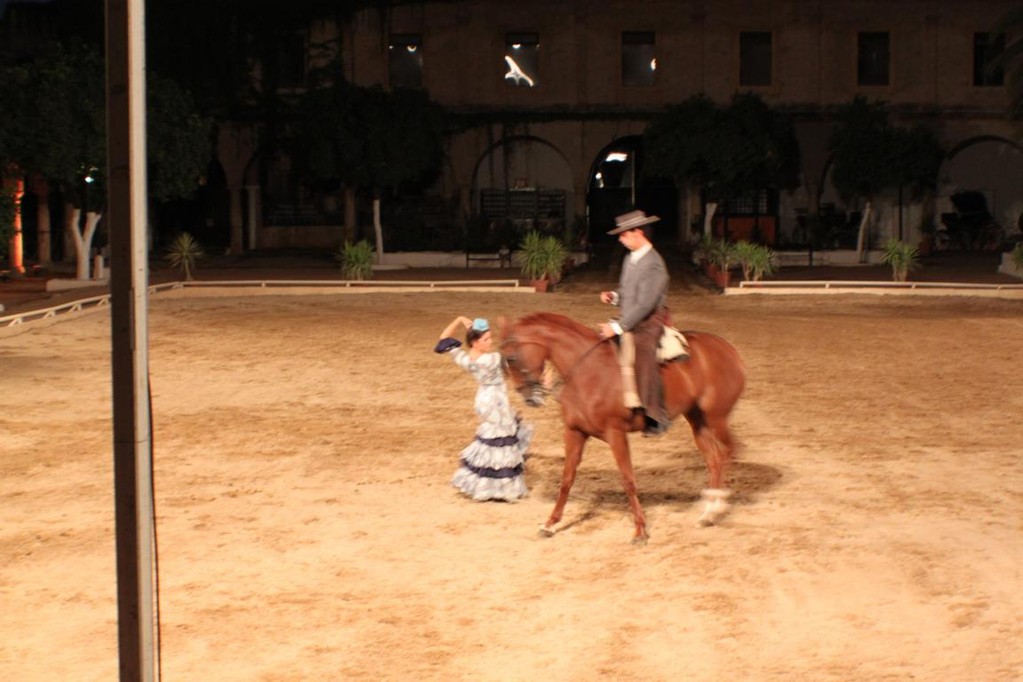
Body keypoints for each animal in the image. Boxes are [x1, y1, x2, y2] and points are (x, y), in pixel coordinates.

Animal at [499, 312, 745, 544]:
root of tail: (728, 348)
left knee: (729, 451)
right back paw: (708, 513)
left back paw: (717, 508)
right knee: (714, 460)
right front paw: (550, 524)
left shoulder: (615, 434)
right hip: (698, 420)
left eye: (511, 358)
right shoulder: (574, 432)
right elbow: (567, 478)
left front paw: (640, 531)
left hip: (716, 417)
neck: (588, 371)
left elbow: (628, 480)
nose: (530, 398)